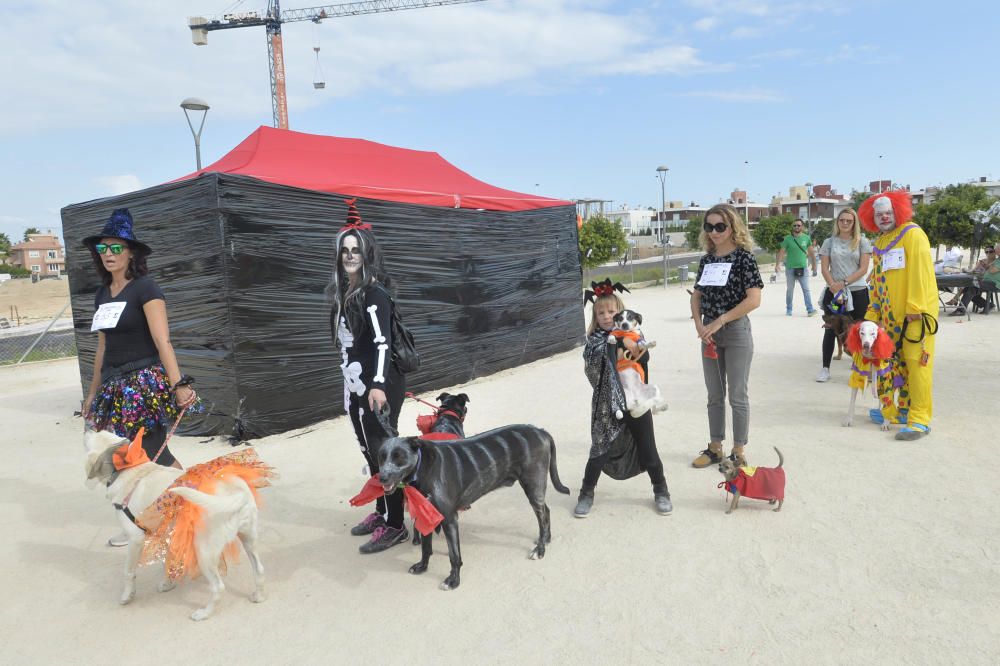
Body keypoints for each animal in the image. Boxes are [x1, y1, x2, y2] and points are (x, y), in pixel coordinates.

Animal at [376, 422, 572, 588]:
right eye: (381, 457)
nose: (382, 478)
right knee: (546, 511)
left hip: (533, 487)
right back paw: (545, 539)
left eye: (399, 457)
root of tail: (541, 431)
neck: (422, 468)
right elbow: (426, 548)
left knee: (542, 516)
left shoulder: (449, 519)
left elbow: (454, 556)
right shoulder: (426, 515)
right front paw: (422, 567)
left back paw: (540, 549)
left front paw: (453, 580)